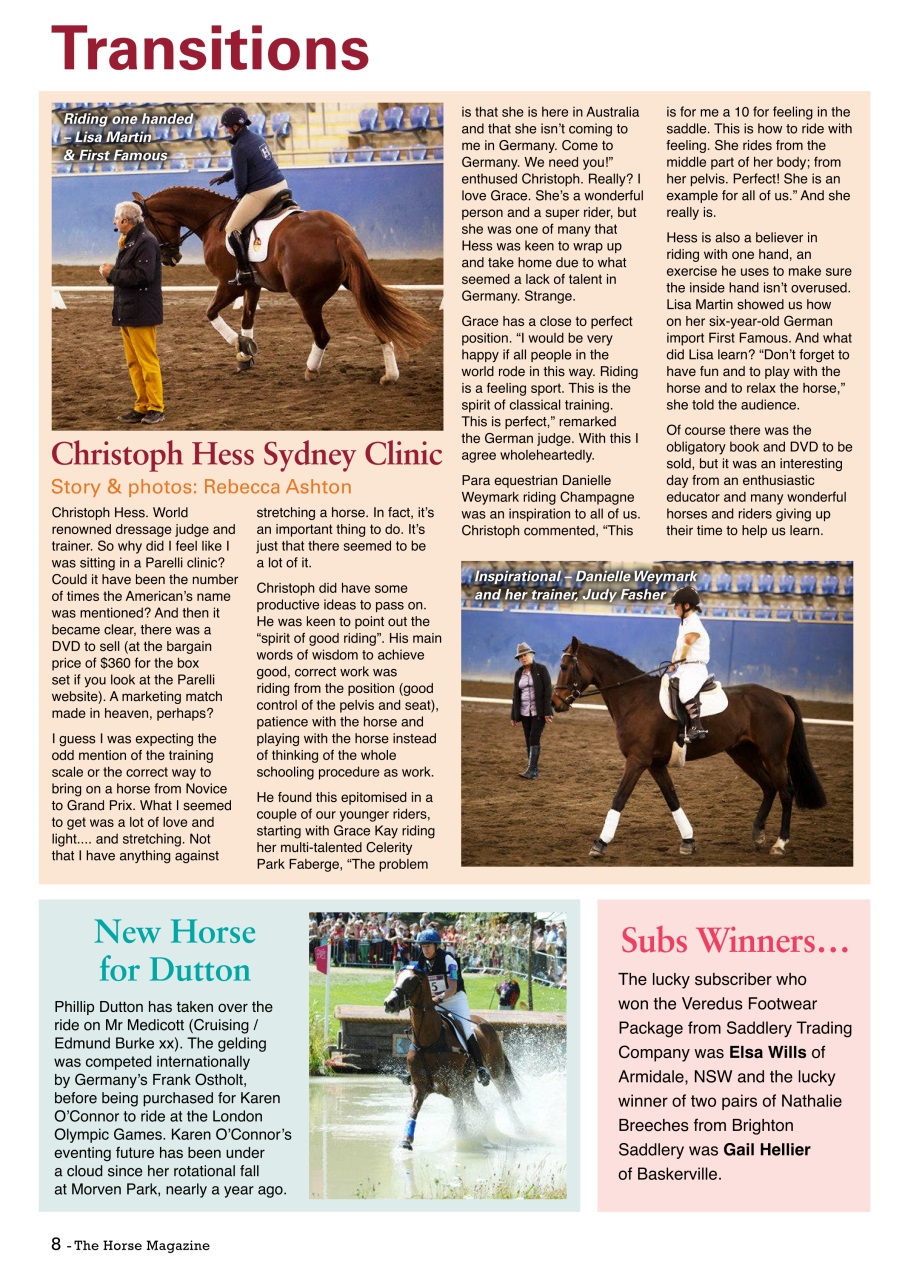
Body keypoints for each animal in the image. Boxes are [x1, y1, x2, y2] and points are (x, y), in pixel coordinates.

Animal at [131, 186, 435, 382]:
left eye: (148, 223)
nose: (171, 258)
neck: (214, 222)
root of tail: (338, 234)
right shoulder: (251, 285)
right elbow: (248, 318)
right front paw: (245, 355)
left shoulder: (229, 285)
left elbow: (211, 313)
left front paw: (239, 346)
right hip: (356, 285)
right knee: (379, 325)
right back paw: (390, 375)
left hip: (307, 298)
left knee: (322, 336)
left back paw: (311, 371)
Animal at [383, 964, 521, 1150]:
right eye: (397, 977)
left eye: (412, 980)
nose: (389, 1003)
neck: (429, 1041)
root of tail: (487, 1024)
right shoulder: (419, 1086)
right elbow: (413, 1110)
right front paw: (406, 1140)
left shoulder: (454, 1086)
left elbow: (459, 1118)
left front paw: (460, 1142)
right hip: (467, 1086)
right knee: (481, 1109)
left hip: (495, 1071)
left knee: (505, 1097)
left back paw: (517, 1127)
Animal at [552, 636, 828, 858]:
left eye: (565, 667)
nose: (555, 704)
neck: (635, 698)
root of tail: (779, 696)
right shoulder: (655, 764)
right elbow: (672, 798)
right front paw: (688, 841)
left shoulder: (637, 760)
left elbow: (619, 799)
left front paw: (599, 844)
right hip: (743, 754)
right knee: (768, 787)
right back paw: (758, 835)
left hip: (774, 756)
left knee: (786, 791)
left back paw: (779, 844)